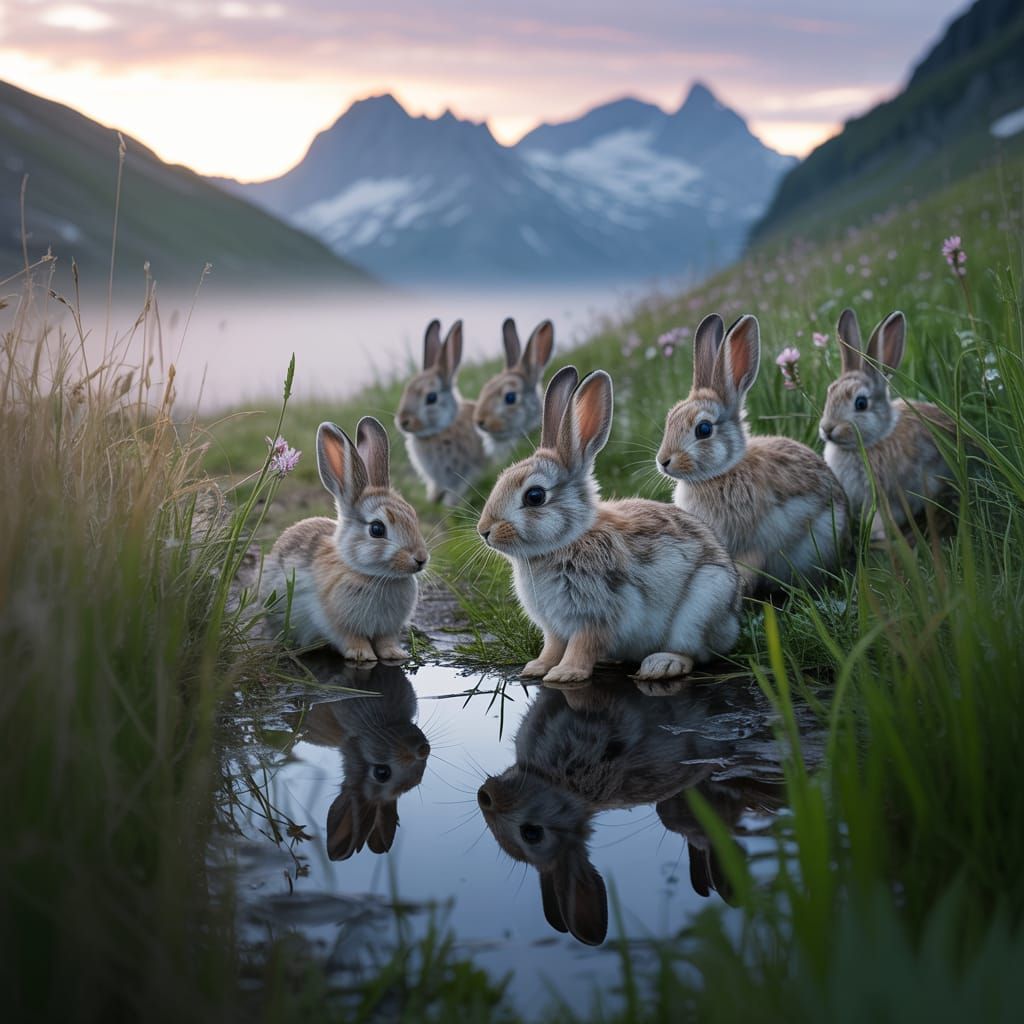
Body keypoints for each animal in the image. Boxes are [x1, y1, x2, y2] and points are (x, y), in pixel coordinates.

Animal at [260, 417, 428, 663]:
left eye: (414, 515)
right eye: (377, 529)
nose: (421, 559)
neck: (374, 576)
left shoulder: (387, 629)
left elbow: (385, 641)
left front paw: (395, 654)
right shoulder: (332, 622)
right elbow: (350, 639)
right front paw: (363, 656)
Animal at [395, 319, 489, 507]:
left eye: (431, 398)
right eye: (406, 390)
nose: (403, 421)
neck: (440, 430)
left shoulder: (465, 470)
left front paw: (448, 503)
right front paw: (432, 498)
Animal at [477, 364, 742, 685]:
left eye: (535, 496)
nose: (484, 531)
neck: (565, 543)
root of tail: (732, 621)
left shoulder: (597, 615)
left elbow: (582, 645)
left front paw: (564, 674)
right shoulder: (554, 627)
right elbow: (552, 646)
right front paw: (537, 667)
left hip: (702, 604)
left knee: (693, 652)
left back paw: (662, 665)